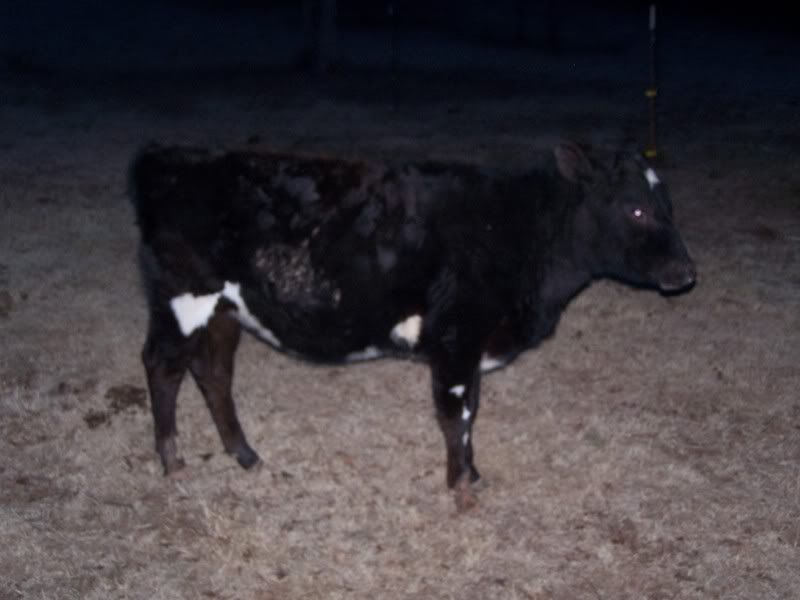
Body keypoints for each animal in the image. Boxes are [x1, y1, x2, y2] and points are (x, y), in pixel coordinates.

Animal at [129, 141, 695, 510]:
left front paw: (473, 474)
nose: (687, 272)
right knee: (163, 367)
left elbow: (471, 412)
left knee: (213, 372)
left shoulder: (470, 346)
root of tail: (169, 158)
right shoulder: (458, 336)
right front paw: (461, 487)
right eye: (637, 209)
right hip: (183, 299)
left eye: (668, 205)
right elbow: (457, 414)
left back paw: (245, 455)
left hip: (225, 309)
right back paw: (172, 461)